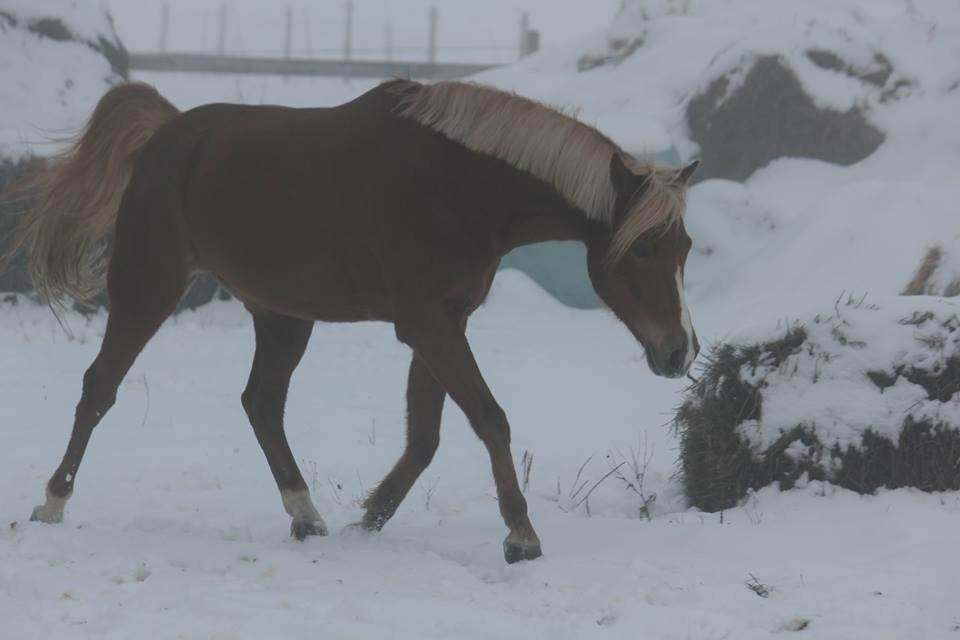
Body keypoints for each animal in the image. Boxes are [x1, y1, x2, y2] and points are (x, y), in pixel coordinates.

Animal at [3, 77, 700, 564]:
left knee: (261, 403)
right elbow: (489, 419)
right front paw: (521, 537)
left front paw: (370, 519)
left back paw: (306, 516)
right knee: (100, 387)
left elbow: (425, 438)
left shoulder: (441, 324)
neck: (459, 182)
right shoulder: (428, 324)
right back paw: (52, 503)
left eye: (684, 248)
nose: (680, 353)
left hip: (282, 317)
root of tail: (169, 132)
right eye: (642, 249)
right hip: (148, 288)